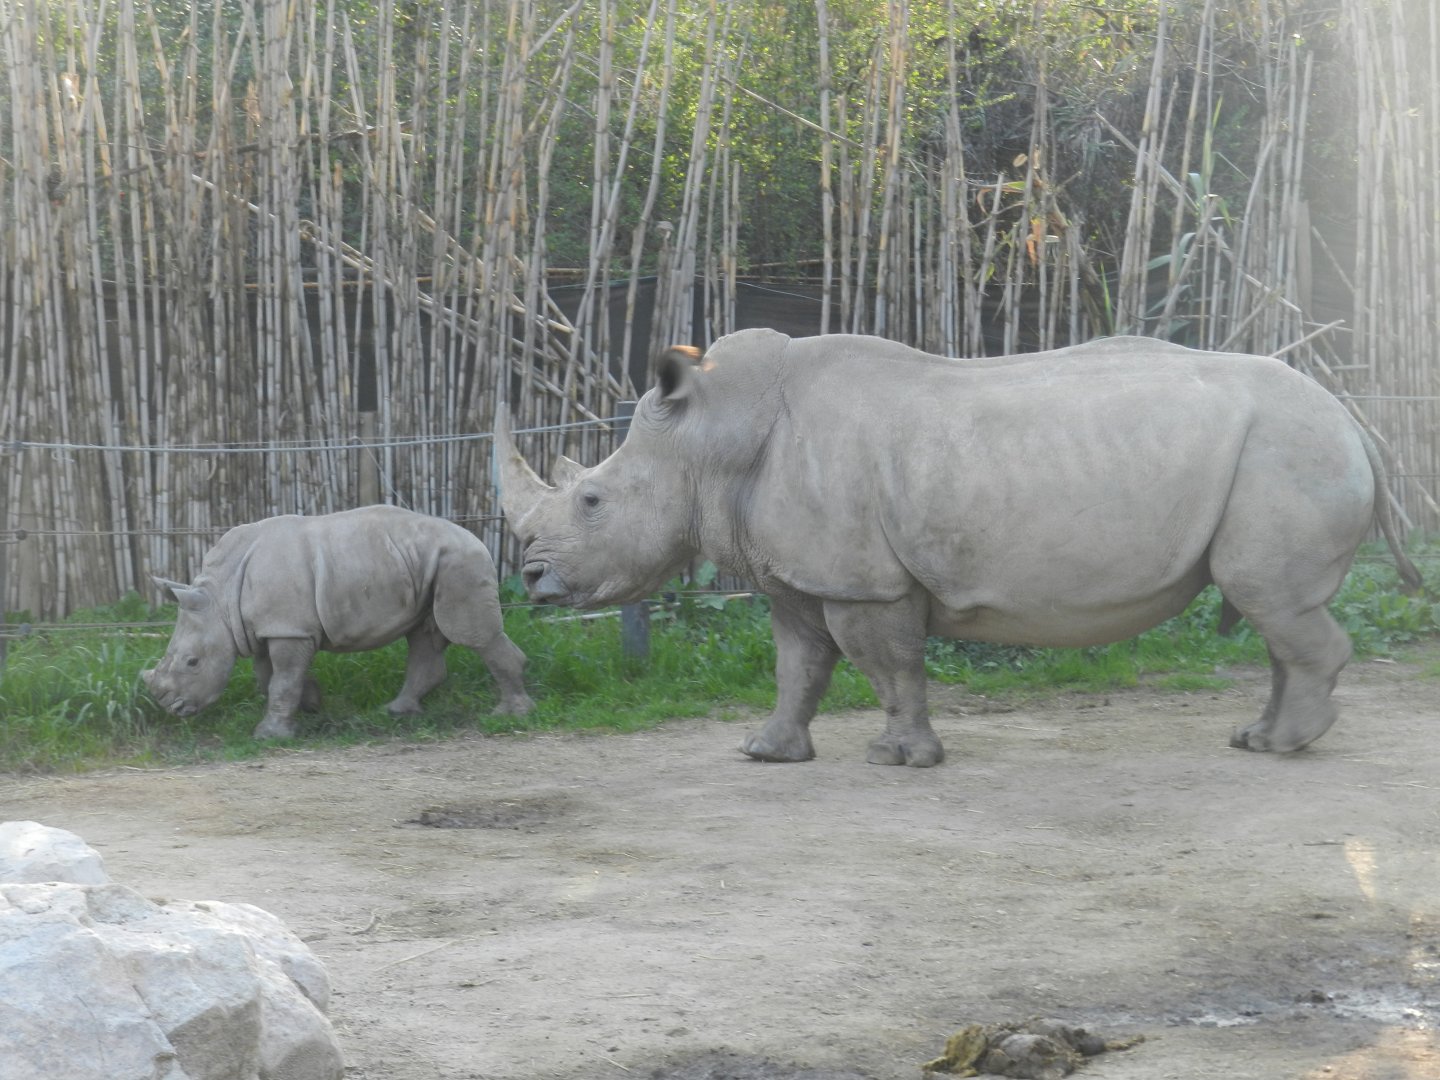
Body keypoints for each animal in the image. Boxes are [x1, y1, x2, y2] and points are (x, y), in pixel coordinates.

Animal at [141, 505, 534, 739]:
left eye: (192, 662)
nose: (171, 708)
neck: (220, 600)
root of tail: (477, 538)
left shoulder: (289, 629)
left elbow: (281, 679)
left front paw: (270, 734)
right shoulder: (270, 626)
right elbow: (269, 676)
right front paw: (312, 704)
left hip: (459, 561)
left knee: (472, 634)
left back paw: (510, 716)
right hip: (427, 561)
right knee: (422, 636)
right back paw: (398, 711)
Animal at [497, 329, 1424, 767]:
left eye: (591, 500)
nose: (533, 580)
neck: (710, 437)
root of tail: (1356, 420)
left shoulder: (866, 581)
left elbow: (888, 668)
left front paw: (899, 759)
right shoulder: (798, 572)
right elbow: (799, 665)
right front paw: (767, 752)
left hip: (1288, 449)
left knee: (1272, 600)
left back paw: (1285, 748)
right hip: (1284, 448)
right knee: (1272, 611)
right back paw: (1258, 738)